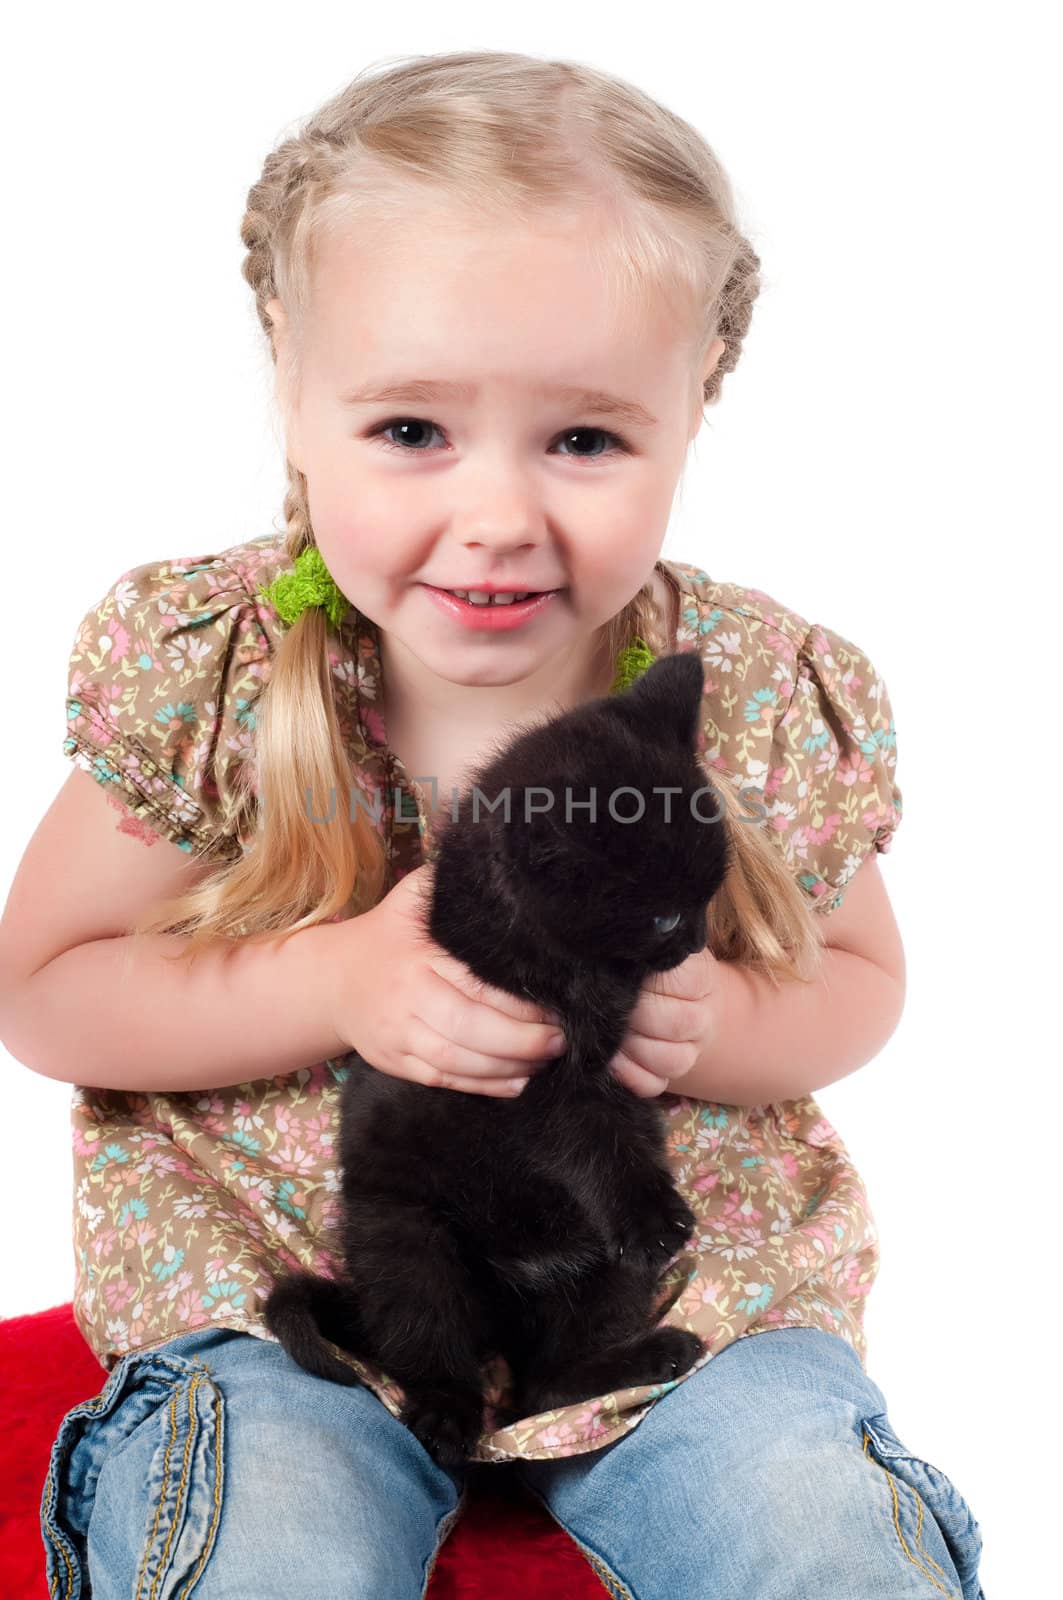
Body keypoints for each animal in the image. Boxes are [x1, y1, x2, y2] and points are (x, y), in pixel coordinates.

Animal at [264, 649, 730, 1465]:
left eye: (709, 895)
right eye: (664, 917)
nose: (699, 943)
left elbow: (627, 1130)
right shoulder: (536, 1084)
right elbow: (594, 1137)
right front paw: (652, 1214)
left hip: (596, 1269)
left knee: (543, 1388)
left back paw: (643, 1356)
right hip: (408, 1246)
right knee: (435, 1353)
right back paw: (444, 1420)